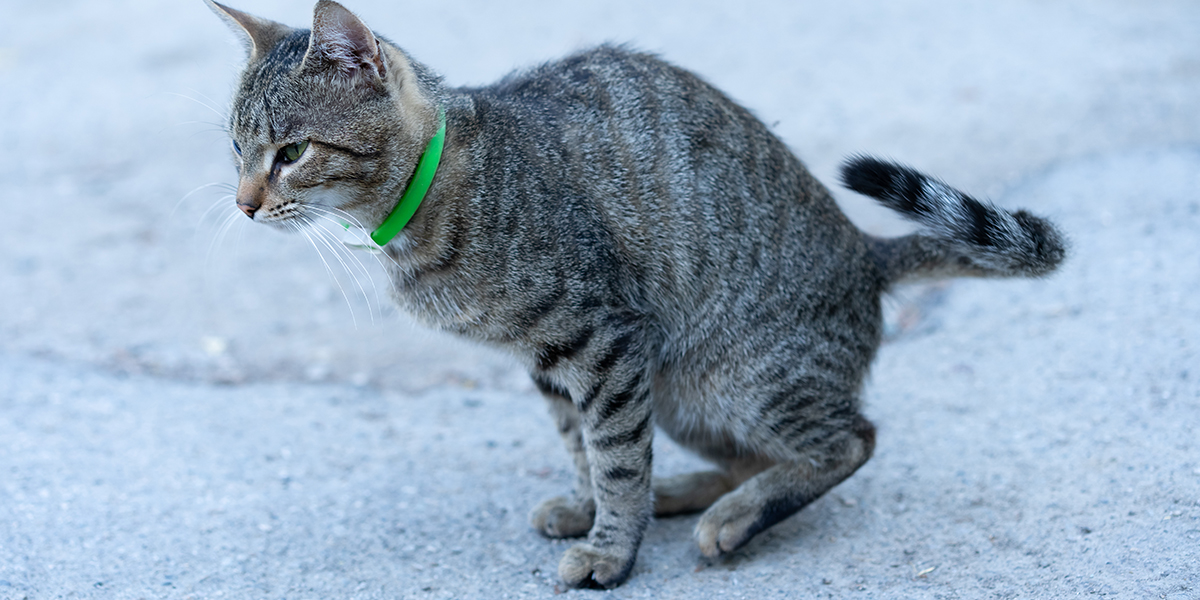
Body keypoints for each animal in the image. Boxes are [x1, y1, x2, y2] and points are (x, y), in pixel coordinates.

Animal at [206, 0, 1070, 588]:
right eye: (238, 151)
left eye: (291, 152)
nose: (243, 205)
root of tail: (864, 251)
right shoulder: (551, 358)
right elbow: (584, 444)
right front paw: (592, 510)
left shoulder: (603, 338)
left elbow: (616, 453)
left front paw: (612, 548)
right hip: (687, 392)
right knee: (745, 454)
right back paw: (691, 494)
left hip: (742, 377)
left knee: (849, 439)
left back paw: (733, 515)